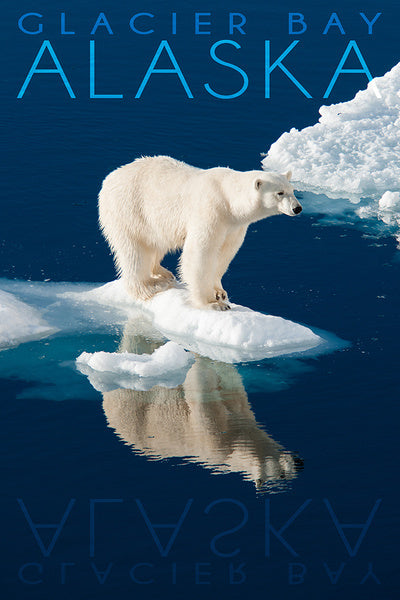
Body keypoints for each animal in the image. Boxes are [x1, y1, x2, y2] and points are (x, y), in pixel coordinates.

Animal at [98, 155, 302, 310]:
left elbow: (225, 253)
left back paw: (163, 273)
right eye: (280, 193)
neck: (228, 200)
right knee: (135, 251)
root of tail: (109, 178)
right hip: (129, 210)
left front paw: (220, 292)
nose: (297, 208)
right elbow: (200, 253)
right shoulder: (211, 211)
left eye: (292, 190)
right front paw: (213, 303)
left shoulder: (234, 226)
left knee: (157, 243)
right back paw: (151, 286)